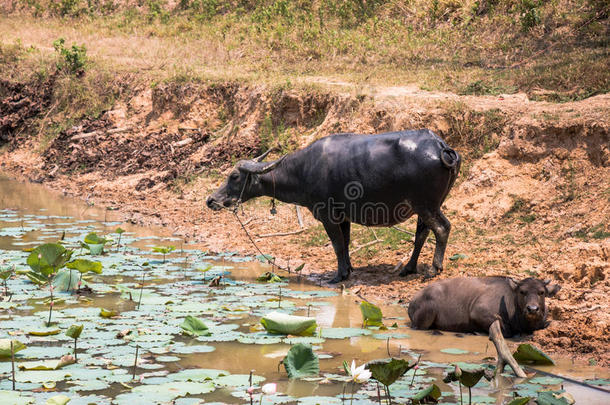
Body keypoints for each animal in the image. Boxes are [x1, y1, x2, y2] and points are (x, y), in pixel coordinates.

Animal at [207, 129, 458, 280]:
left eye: (234, 176)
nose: (211, 200)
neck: (304, 170)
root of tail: (440, 145)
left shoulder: (327, 215)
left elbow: (336, 244)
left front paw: (338, 275)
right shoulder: (343, 216)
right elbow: (345, 243)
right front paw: (348, 269)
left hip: (426, 205)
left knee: (442, 228)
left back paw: (434, 268)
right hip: (425, 207)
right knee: (422, 234)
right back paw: (408, 268)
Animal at [406, 276, 560, 336]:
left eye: (541, 292)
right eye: (522, 292)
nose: (532, 309)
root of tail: (413, 300)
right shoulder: (478, 312)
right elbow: (505, 330)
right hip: (423, 320)